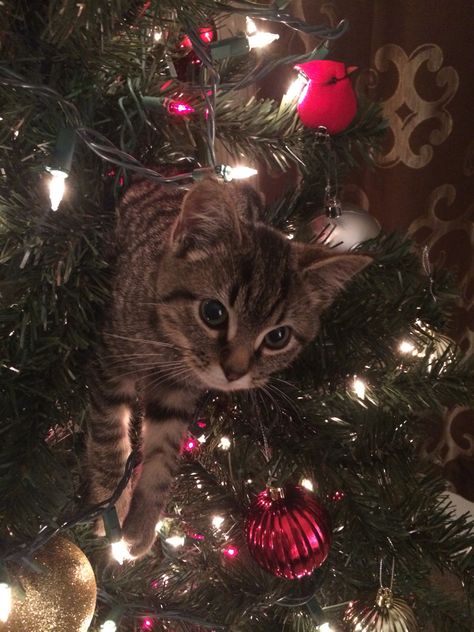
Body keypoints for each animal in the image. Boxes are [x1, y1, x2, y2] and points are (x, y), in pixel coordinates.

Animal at [87, 175, 372, 556]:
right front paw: (112, 509)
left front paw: (142, 522)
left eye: (277, 337)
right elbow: (108, 439)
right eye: (213, 312)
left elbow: (164, 453)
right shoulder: (111, 362)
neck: (171, 345)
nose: (234, 372)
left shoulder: (177, 393)